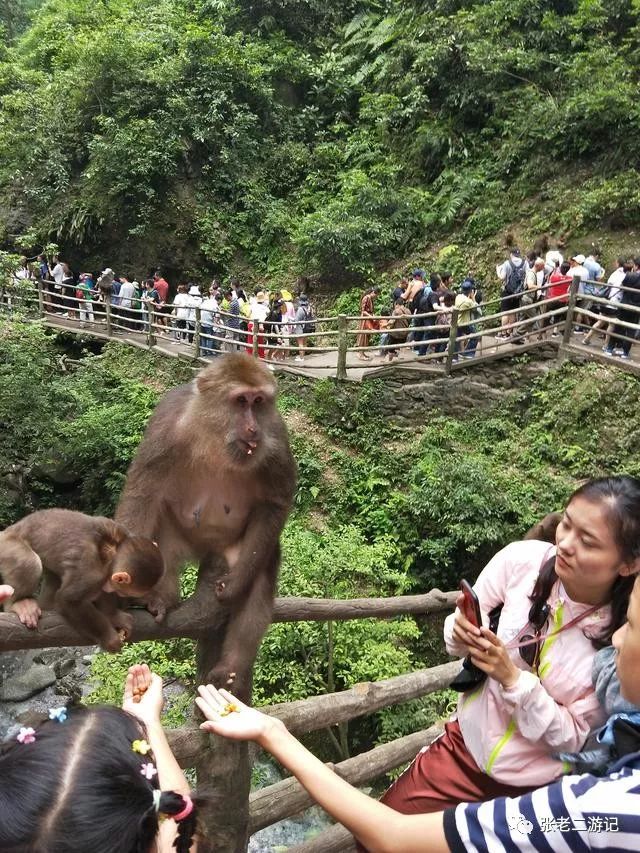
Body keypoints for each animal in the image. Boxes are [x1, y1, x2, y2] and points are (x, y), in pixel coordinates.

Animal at [1, 506, 165, 652]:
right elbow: (69, 600)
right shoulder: (92, 572)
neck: (113, 552)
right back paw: (19, 603)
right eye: (122, 591)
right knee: (29, 562)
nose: (110, 587)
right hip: (7, 545)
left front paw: (113, 616)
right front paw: (109, 637)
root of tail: (7, 530)